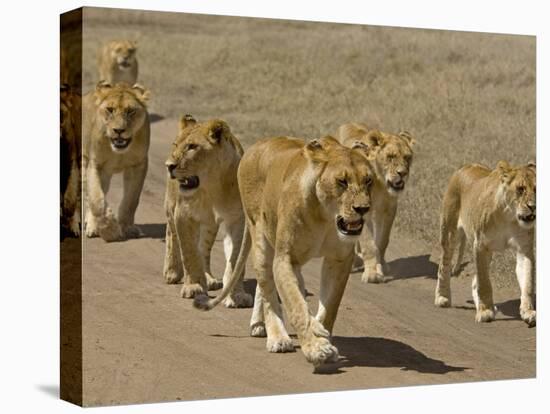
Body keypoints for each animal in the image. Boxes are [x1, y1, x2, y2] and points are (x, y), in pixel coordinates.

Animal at [82, 80, 151, 243]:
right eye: (110, 110)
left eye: (130, 111)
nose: (118, 130)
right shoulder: (95, 164)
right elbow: (97, 199)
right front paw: (110, 231)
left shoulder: (138, 165)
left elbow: (131, 201)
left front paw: (127, 228)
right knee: (88, 196)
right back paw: (92, 227)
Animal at [164, 114, 254, 308]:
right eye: (176, 145)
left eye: (191, 147)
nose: (169, 165)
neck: (212, 187)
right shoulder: (183, 215)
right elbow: (189, 252)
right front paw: (194, 287)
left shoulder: (237, 220)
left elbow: (235, 259)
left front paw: (236, 295)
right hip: (171, 206)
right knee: (171, 235)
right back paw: (172, 271)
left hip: (209, 225)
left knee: (203, 249)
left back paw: (209, 278)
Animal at [194, 136, 376, 366]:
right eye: (342, 182)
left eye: (368, 181)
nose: (363, 209)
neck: (327, 217)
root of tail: (256, 146)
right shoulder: (285, 258)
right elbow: (295, 305)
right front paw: (316, 348)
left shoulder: (339, 259)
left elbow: (329, 308)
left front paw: (322, 334)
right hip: (260, 238)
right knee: (268, 290)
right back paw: (276, 337)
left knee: (269, 287)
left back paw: (262, 325)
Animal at [338, 123, 416, 284]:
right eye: (390, 157)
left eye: (407, 157)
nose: (403, 173)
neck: (380, 182)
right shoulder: (361, 211)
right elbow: (368, 243)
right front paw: (372, 274)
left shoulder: (389, 210)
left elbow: (382, 241)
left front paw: (380, 266)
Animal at [436, 162, 540, 326]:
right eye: (520, 189)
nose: (533, 206)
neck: (509, 216)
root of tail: (466, 166)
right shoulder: (480, 246)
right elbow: (484, 283)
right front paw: (485, 312)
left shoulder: (524, 250)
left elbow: (528, 283)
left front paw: (528, 312)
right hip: (450, 234)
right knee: (443, 267)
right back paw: (442, 298)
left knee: (474, 281)